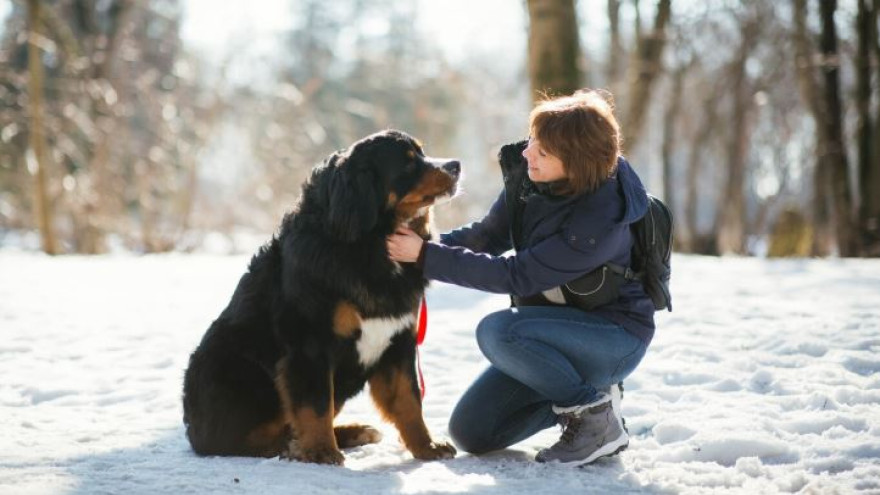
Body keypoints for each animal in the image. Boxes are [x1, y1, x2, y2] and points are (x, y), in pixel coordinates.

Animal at [180, 128, 460, 464]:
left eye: (422, 152)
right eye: (407, 163)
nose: (455, 165)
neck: (371, 242)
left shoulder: (399, 340)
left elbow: (409, 401)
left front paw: (426, 446)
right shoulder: (310, 345)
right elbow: (315, 406)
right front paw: (322, 451)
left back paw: (352, 432)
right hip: (236, 371)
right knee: (241, 440)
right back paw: (294, 446)